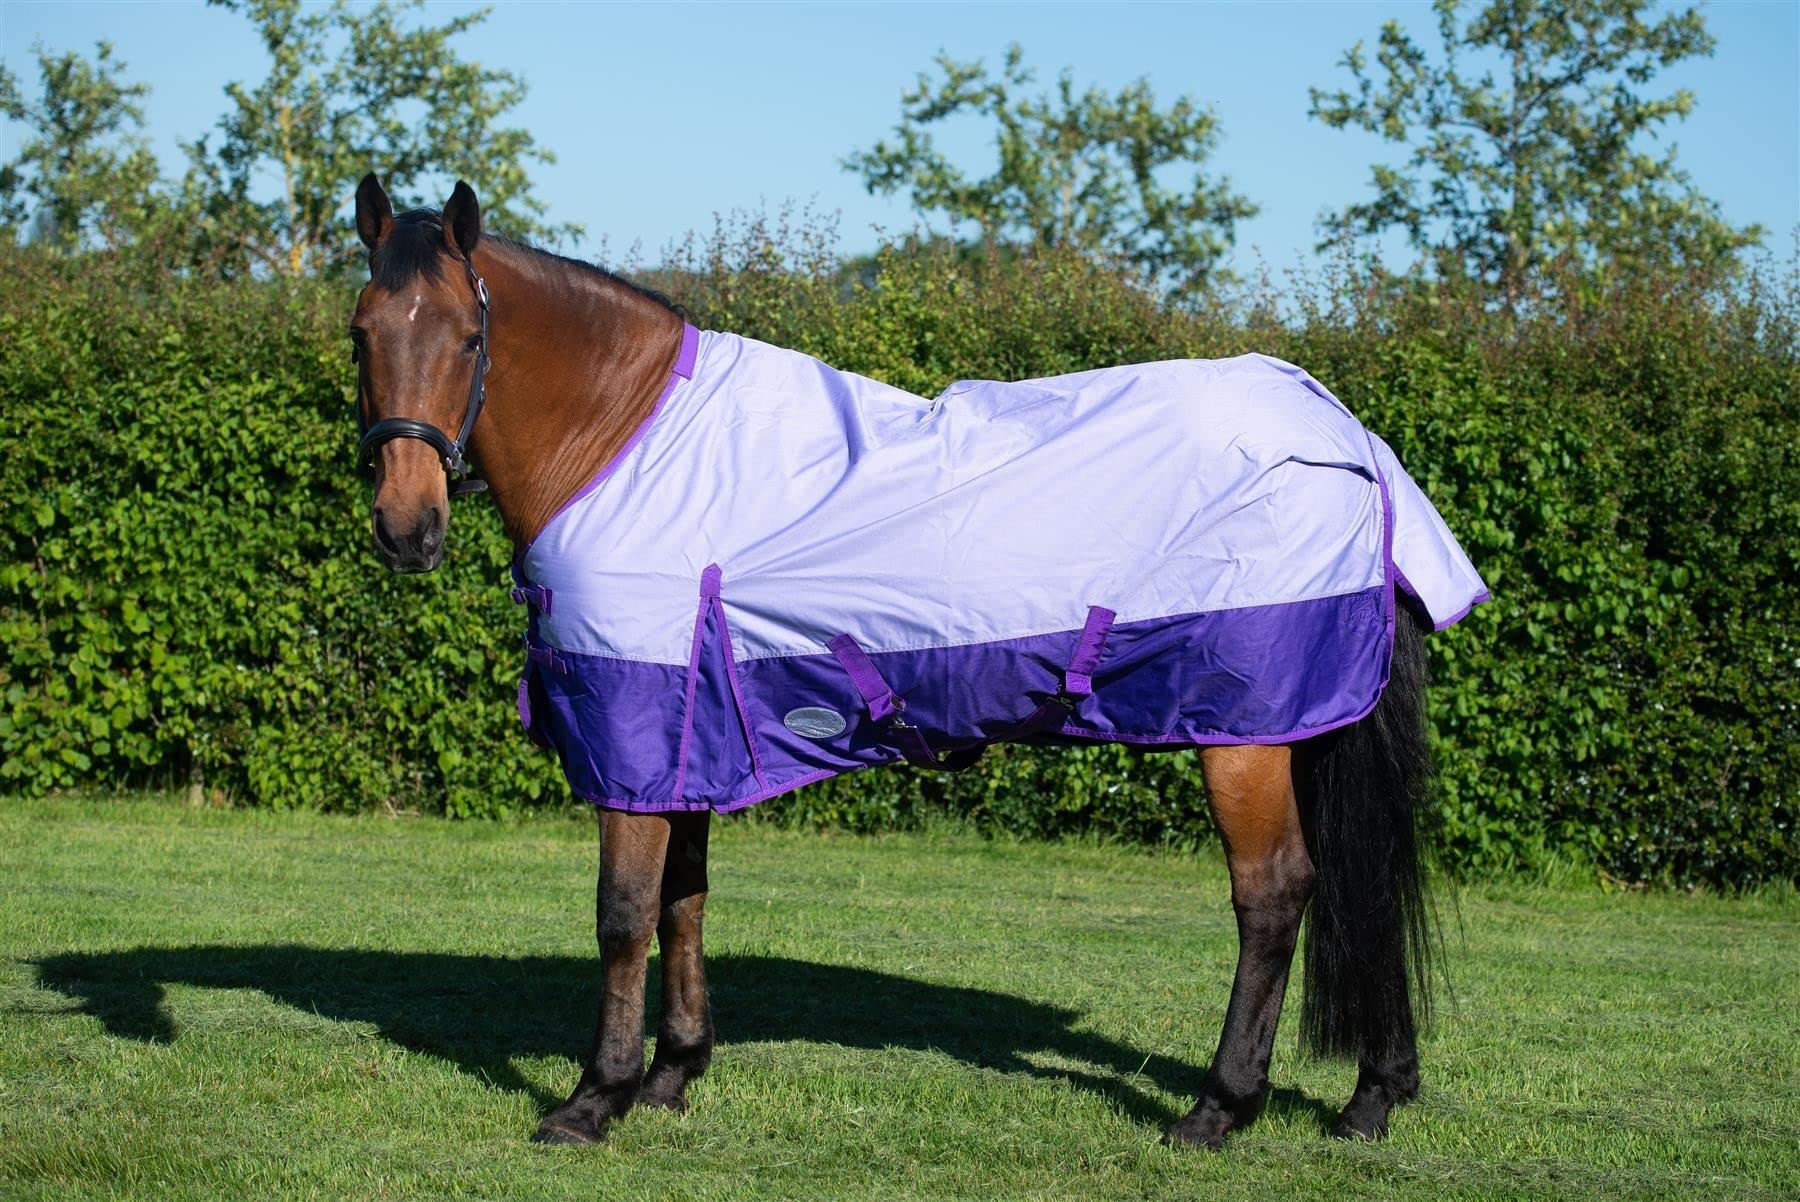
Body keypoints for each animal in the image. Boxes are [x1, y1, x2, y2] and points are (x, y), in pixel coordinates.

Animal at [348, 174, 1481, 1150]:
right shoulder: (690, 739)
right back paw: (1373, 1095)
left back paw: (1219, 1107)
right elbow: (685, 900)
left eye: (468, 337)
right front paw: (673, 1075)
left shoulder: (635, 725)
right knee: (1356, 889)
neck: (625, 442)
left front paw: (594, 1098)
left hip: (1243, 733)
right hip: (1307, 722)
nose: (408, 529)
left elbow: (623, 916)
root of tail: (1340, 428)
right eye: (362, 331)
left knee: (1275, 892)